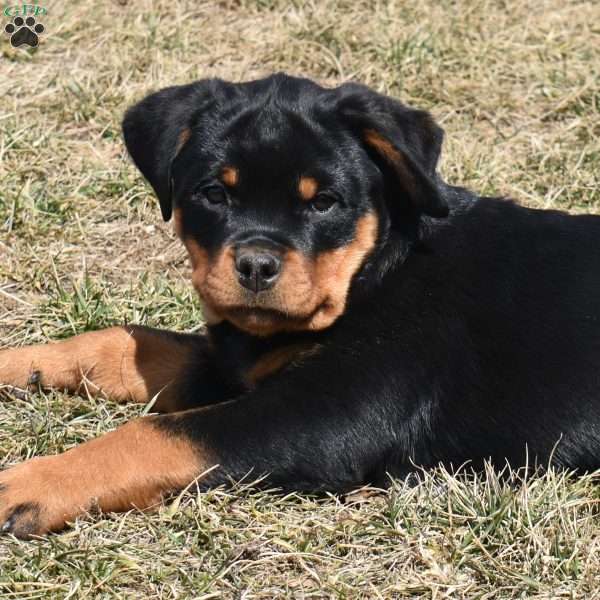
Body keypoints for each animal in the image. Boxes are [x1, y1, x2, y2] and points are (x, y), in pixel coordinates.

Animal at [1, 72, 600, 536]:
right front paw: (18, 364)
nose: (256, 266)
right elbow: (127, 343)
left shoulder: (330, 412)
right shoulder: (235, 364)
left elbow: (158, 433)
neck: (374, 273)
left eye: (325, 202)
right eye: (215, 194)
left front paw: (29, 483)